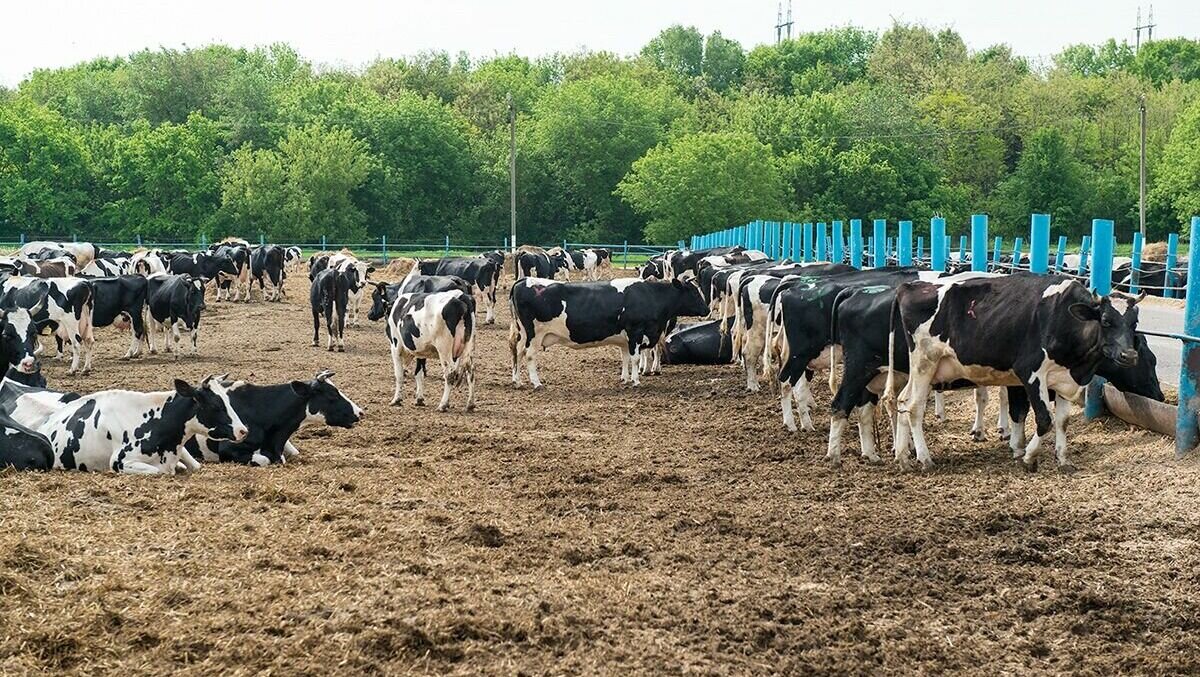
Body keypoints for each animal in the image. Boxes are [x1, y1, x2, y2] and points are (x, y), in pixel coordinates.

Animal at [892, 271, 1142, 470]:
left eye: (1134, 323)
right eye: (1106, 320)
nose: (1129, 356)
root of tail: (909, 287)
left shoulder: (1064, 379)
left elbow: (1062, 421)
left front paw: (1063, 460)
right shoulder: (1030, 372)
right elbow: (1044, 419)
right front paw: (1029, 457)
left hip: (924, 371)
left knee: (903, 401)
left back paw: (903, 457)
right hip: (925, 363)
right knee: (914, 407)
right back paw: (925, 459)